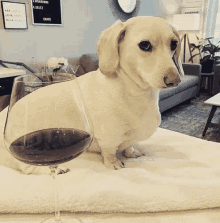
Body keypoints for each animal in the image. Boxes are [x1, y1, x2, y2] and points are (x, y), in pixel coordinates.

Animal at [0, 16, 184, 174]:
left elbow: (129, 145)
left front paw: (131, 152)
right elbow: (110, 152)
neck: (133, 90)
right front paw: (114, 163)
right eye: (145, 45)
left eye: (174, 44)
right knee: (30, 168)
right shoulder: (108, 138)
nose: (175, 80)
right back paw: (56, 169)